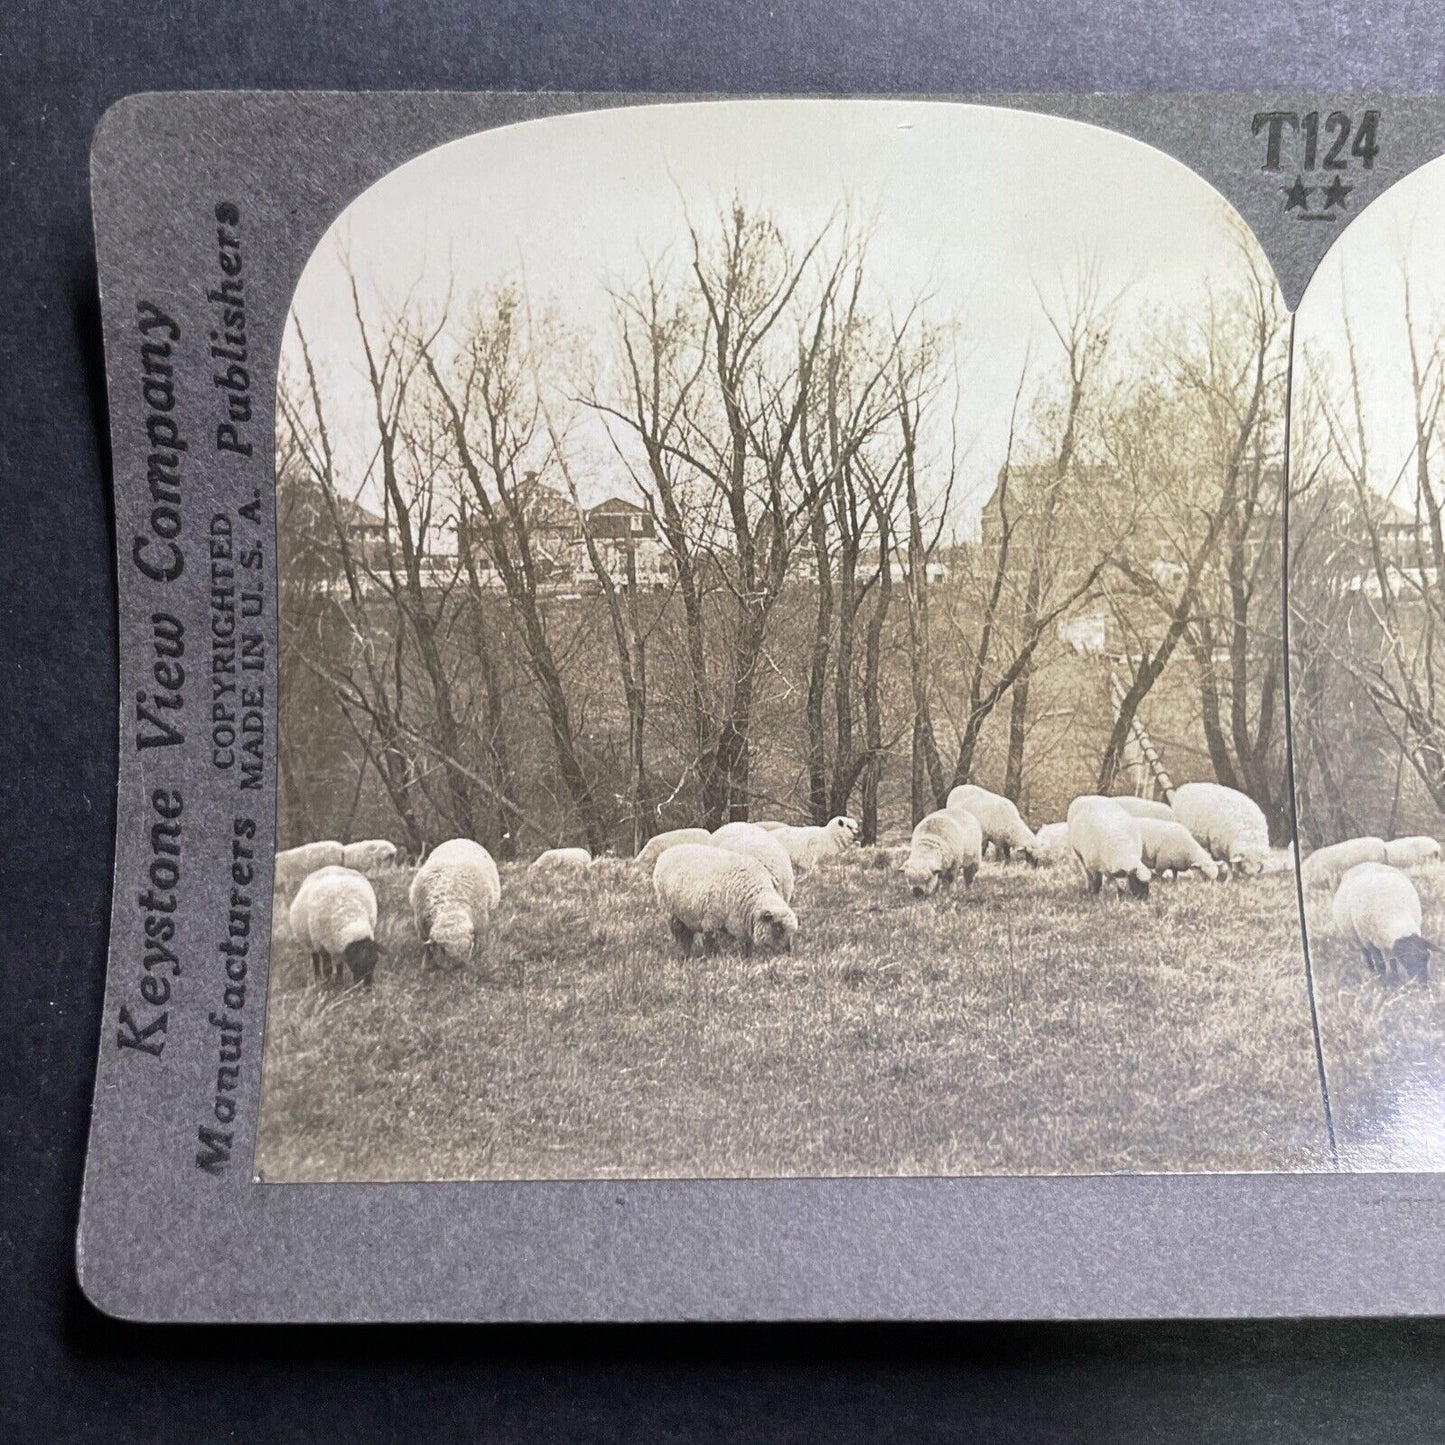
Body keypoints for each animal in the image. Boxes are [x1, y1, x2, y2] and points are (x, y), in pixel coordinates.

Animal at [410, 838, 505, 971]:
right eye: (443, 949)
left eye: (467, 947)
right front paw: (426, 963)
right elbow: (426, 948)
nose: (457, 967)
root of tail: (462, 839)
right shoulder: (421, 927)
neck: (451, 906)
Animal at [653, 843, 797, 953]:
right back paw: (684, 956)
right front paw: (710, 959)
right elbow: (710, 944)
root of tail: (666, 853)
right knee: (682, 936)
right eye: (778, 927)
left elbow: (747, 945)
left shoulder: (744, 924)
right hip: (672, 912)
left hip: (686, 914)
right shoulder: (711, 921)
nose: (788, 951)